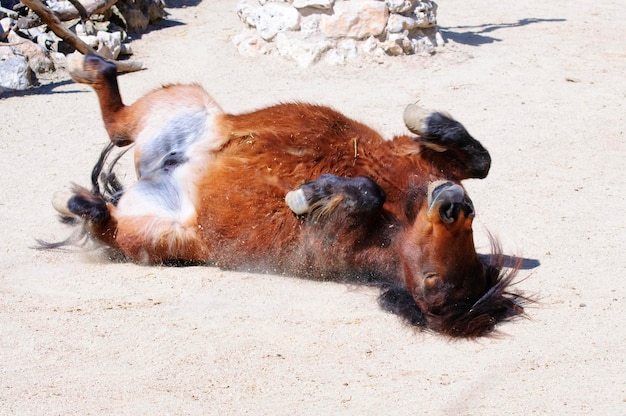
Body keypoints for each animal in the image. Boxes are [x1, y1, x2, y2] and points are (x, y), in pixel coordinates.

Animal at [46, 53, 524, 336]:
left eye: (432, 281)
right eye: (470, 220)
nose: (453, 205)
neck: (402, 210)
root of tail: (159, 173)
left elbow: (364, 193)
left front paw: (309, 194)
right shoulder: (409, 156)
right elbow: (478, 159)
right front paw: (424, 118)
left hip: (155, 234)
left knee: (108, 209)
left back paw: (78, 203)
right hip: (187, 107)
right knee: (117, 123)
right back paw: (90, 66)